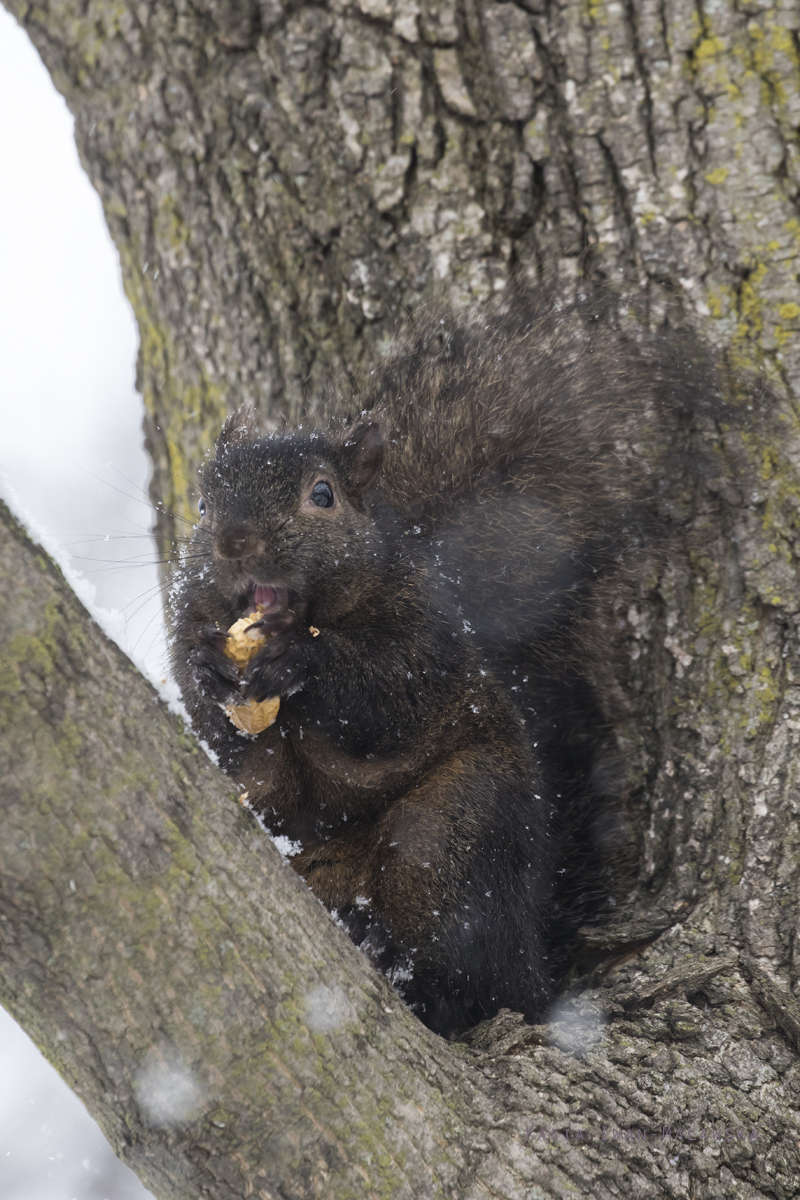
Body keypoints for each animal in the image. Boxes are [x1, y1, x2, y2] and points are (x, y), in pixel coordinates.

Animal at [170, 285, 734, 1036]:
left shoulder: (428, 636)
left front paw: (299, 661)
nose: (233, 542)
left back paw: (406, 967)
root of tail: (534, 958)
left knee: (476, 971)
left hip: (452, 830)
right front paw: (210, 670)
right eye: (203, 503)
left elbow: (387, 696)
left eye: (322, 495)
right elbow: (217, 728)